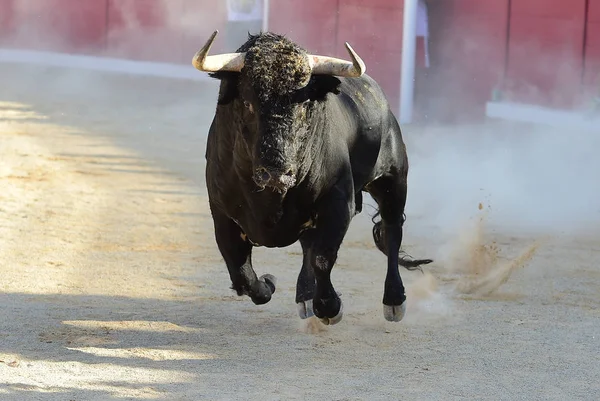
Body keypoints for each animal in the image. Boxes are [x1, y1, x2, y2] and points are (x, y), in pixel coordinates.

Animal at [195, 31, 434, 324]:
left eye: (304, 103)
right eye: (248, 103)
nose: (277, 172)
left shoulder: (339, 203)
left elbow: (323, 258)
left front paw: (330, 307)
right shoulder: (221, 212)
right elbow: (241, 273)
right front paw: (269, 284)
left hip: (392, 179)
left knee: (392, 231)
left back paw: (394, 300)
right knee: (308, 245)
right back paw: (305, 296)